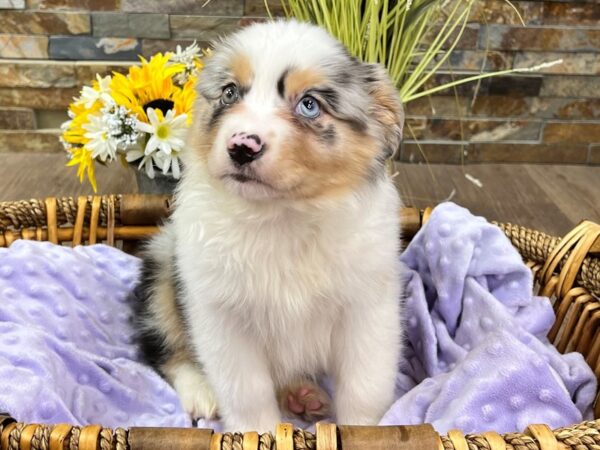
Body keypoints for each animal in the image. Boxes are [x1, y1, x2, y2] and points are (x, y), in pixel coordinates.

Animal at [134, 18, 406, 432]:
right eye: (229, 92)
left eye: (309, 104)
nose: (241, 147)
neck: (281, 215)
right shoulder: (221, 315)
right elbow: (247, 391)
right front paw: (256, 434)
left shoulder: (367, 306)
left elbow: (364, 386)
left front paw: (362, 431)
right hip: (162, 271)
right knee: (161, 343)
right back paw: (201, 391)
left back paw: (302, 395)